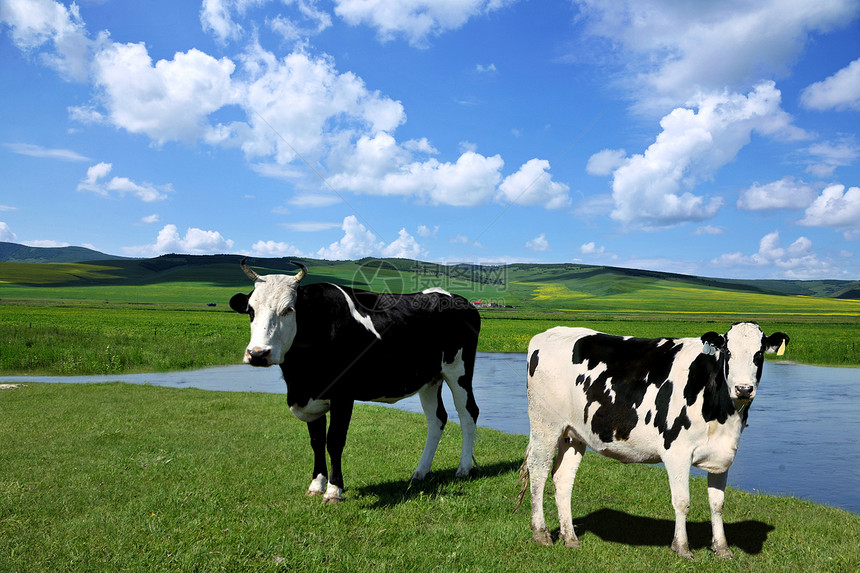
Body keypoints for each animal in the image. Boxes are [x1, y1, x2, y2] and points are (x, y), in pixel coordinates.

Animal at [232, 258, 480, 500]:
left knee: (468, 413)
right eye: (250, 310)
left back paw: (464, 468)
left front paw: (334, 490)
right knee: (437, 419)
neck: (301, 376)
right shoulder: (311, 398)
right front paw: (316, 485)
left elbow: (334, 440)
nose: (257, 353)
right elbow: (316, 441)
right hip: (430, 379)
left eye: (288, 309)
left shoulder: (342, 394)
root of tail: (457, 299)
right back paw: (420, 471)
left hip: (459, 370)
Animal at [520, 322, 788, 560]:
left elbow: (717, 504)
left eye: (759, 353)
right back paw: (541, 533)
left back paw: (570, 537)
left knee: (563, 478)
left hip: (573, 434)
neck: (722, 413)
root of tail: (548, 333)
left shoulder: (722, 455)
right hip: (545, 424)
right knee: (539, 471)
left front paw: (722, 549)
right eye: (728, 352)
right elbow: (682, 502)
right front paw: (682, 548)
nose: (743, 389)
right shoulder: (677, 452)